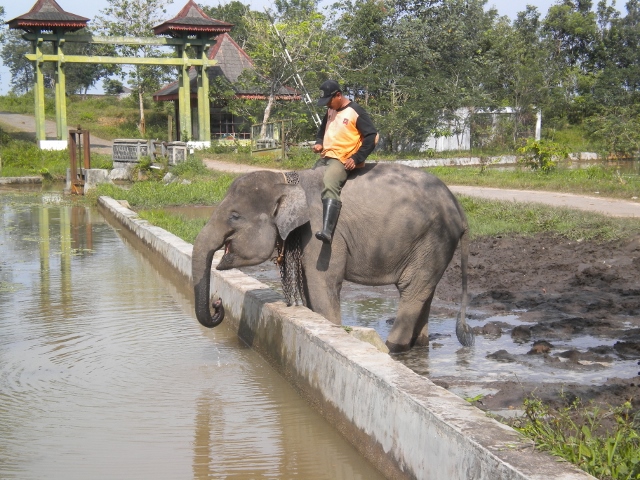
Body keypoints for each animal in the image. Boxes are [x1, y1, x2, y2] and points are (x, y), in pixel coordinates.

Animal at [192, 162, 472, 352]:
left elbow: (322, 285)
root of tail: (459, 208)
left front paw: (334, 330)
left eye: (234, 216)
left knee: (411, 290)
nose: (218, 302)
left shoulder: (322, 235)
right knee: (424, 291)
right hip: (432, 245)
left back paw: (393, 348)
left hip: (433, 238)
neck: (286, 180)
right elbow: (309, 286)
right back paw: (419, 345)